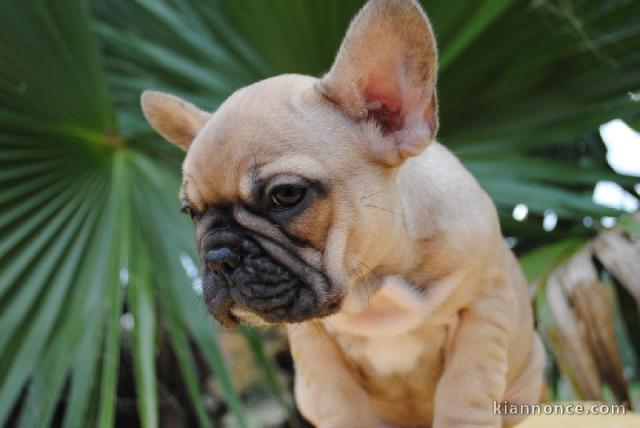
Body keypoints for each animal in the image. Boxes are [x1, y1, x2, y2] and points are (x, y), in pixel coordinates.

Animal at [141, 1, 544, 426]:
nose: (217, 258)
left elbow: (465, 392)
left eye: (286, 195)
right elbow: (338, 402)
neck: (376, 287)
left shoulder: (483, 307)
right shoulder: (316, 348)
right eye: (190, 213)